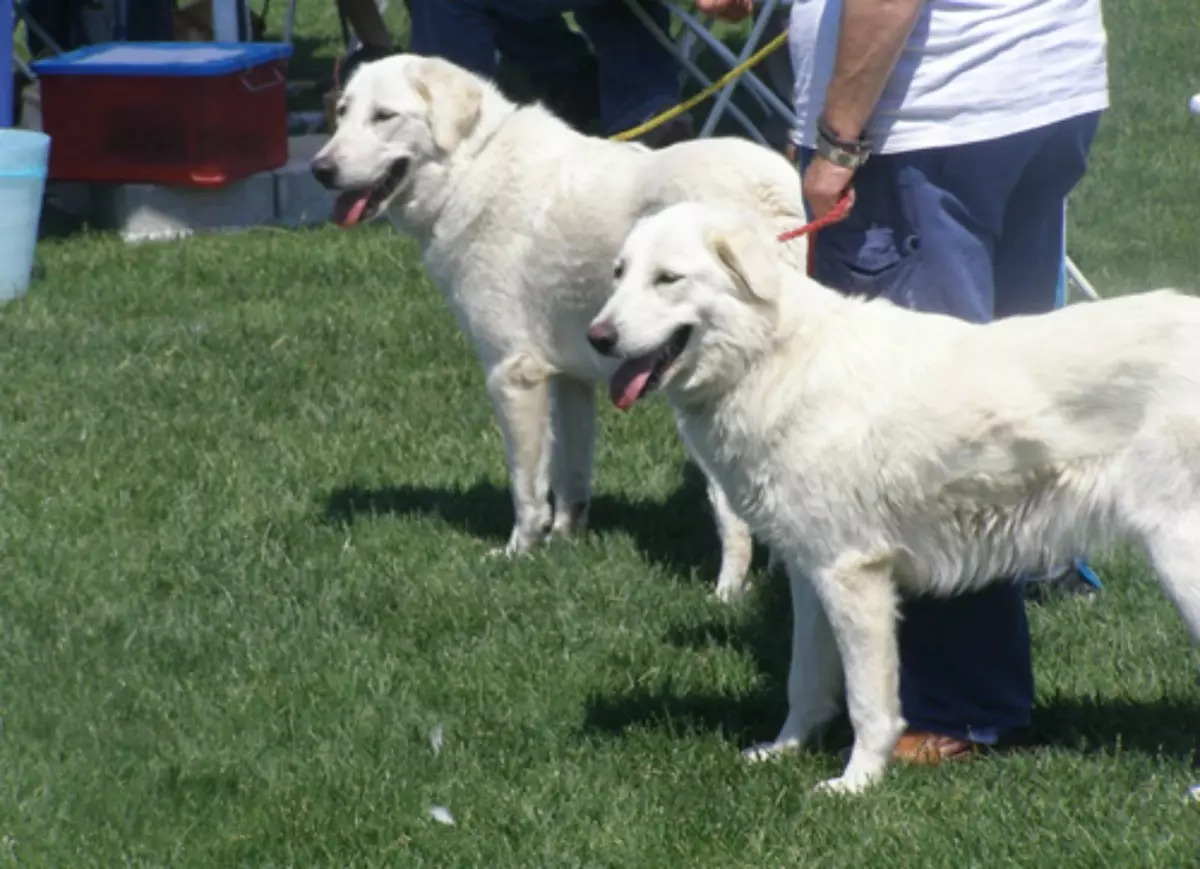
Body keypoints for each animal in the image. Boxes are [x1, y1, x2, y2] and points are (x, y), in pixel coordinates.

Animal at [309, 52, 806, 597]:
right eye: (342, 112)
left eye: (384, 116)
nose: (320, 170)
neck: (471, 166)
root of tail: (769, 189)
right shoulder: (570, 377)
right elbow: (573, 480)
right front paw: (566, 544)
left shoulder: (513, 374)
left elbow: (527, 489)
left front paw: (518, 553)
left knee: (734, 519)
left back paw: (727, 595)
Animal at [590, 198, 1200, 792]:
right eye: (618, 273)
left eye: (667, 279)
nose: (598, 338)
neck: (775, 359)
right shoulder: (811, 573)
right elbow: (803, 683)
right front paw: (785, 751)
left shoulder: (854, 575)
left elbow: (868, 703)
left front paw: (856, 783)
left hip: (1180, 558)